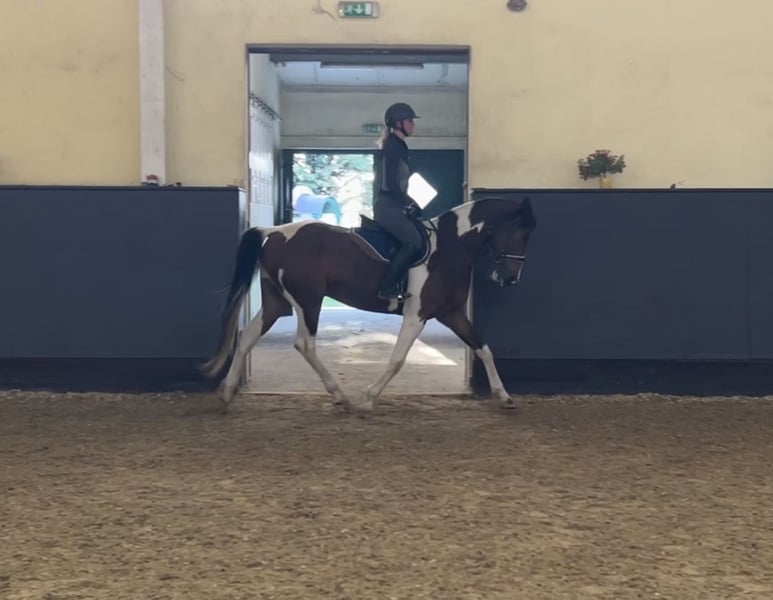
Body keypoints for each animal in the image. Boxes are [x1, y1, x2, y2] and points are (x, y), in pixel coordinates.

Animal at [202, 195, 536, 412]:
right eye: (520, 233)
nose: (510, 279)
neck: (449, 247)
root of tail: (273, 233)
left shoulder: (451, 314)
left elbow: (484, 348)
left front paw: (504, 395)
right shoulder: (417, 315)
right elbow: (397, 359)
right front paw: (369, 397)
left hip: (276, 302)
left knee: (247, 337)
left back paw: (227, 393)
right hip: (309, 300)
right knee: (304, 344)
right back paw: (340, 395)